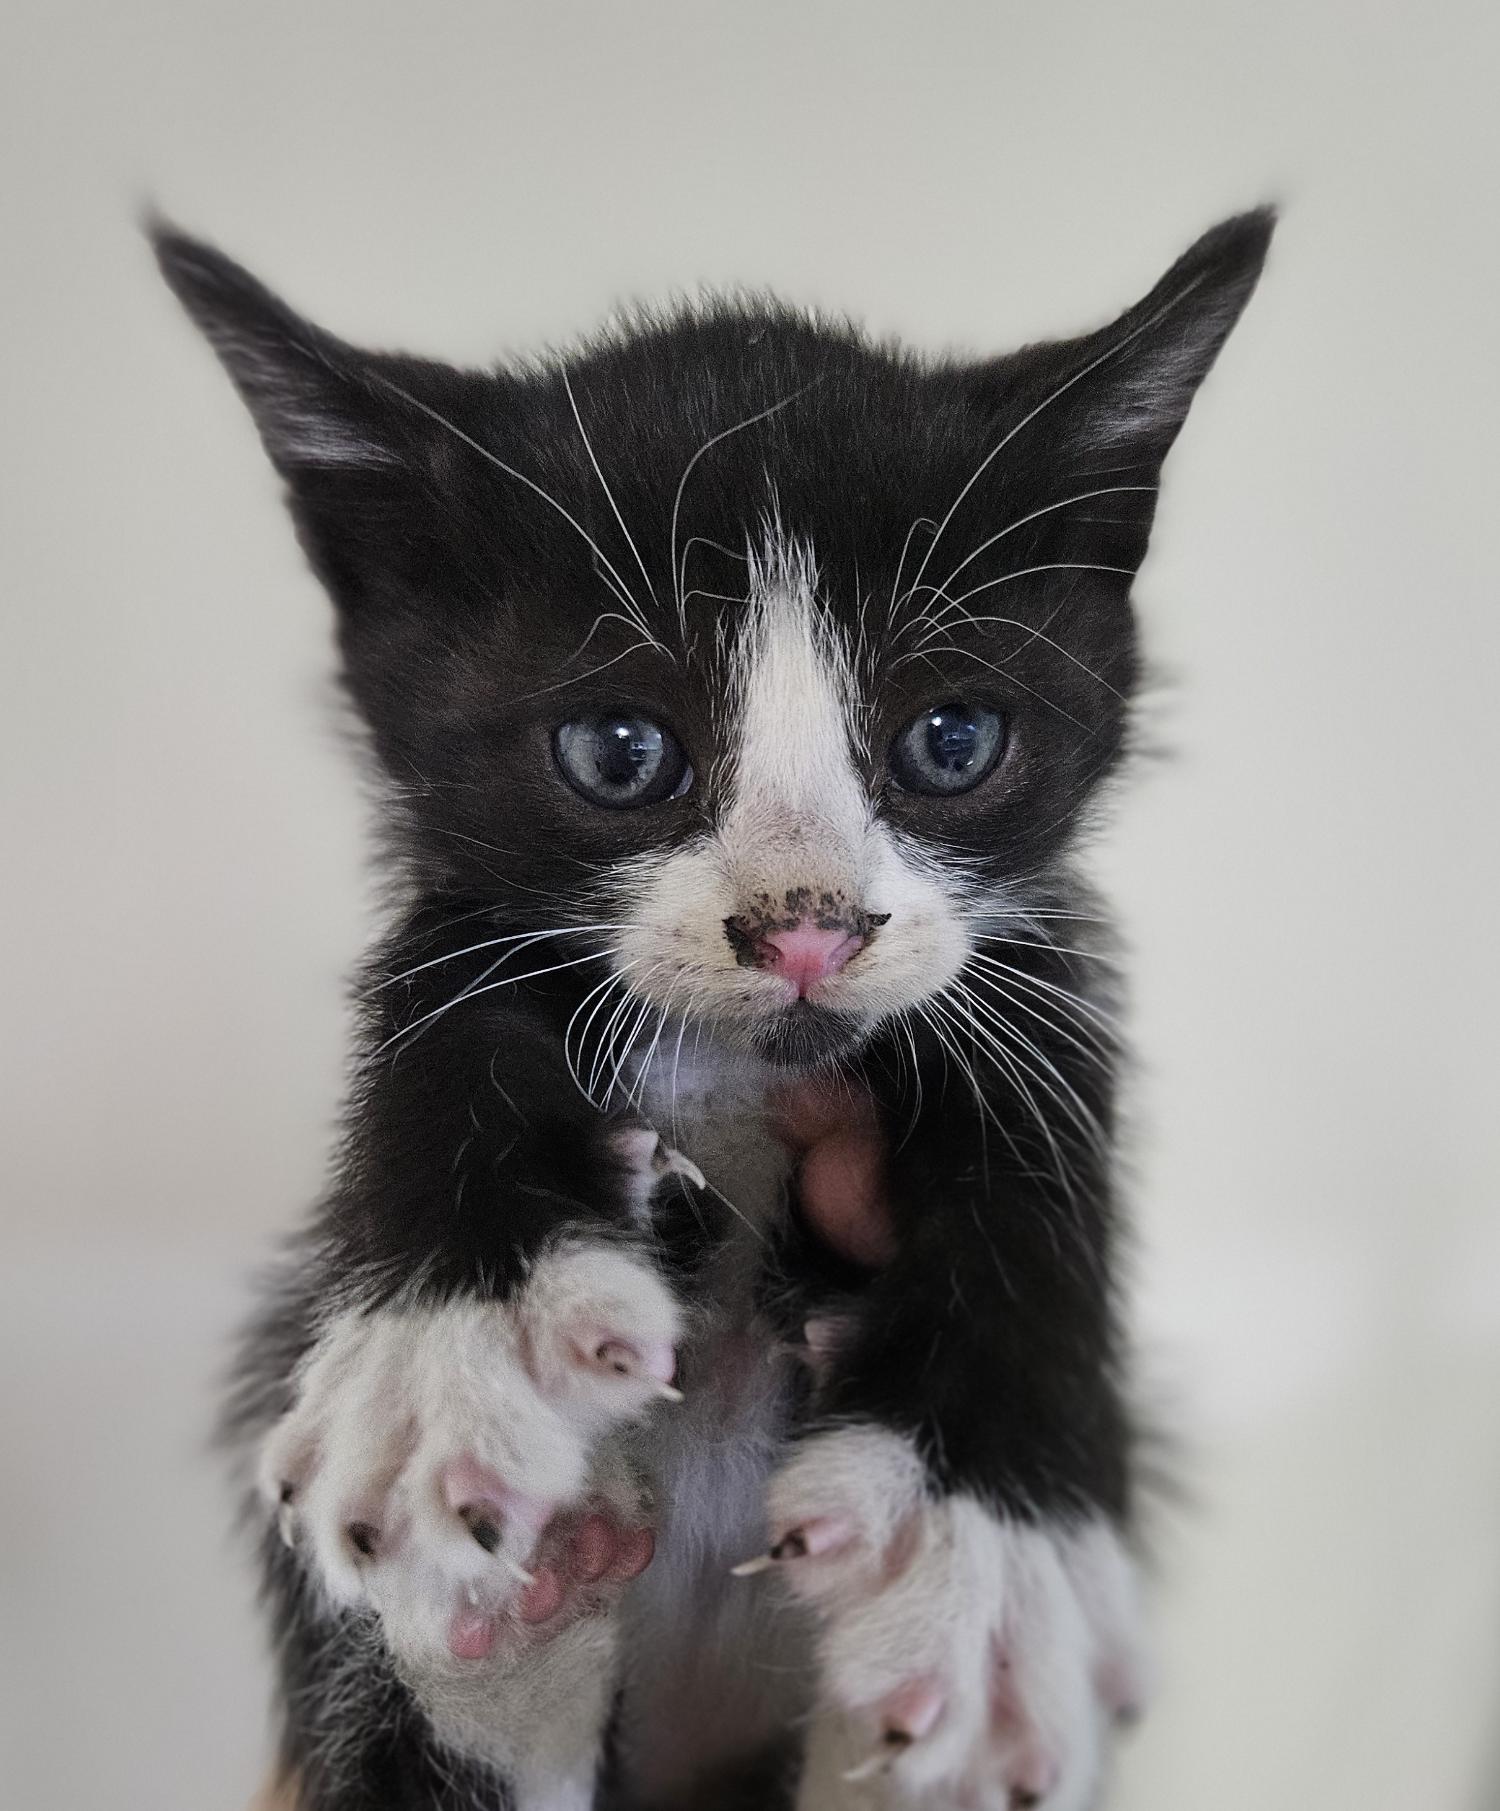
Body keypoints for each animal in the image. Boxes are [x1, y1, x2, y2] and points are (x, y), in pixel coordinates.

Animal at [158, 215, 1268, 1811]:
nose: (806, 927)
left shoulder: (1023, 952)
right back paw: (518, 1620)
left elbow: (1044, 1102)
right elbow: (439, 997)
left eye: (953, 738)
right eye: (620, 750)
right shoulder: (470, 903)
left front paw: (996, 1547)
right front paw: (450, 1337)